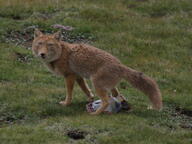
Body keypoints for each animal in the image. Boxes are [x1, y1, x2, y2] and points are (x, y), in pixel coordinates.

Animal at [31, 29, 162, 115]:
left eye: (50, 45)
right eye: (39, 44)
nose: (42, 54)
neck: (60, 54)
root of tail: (120, 64)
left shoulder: (69, 76)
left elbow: (69, 93)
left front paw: (66, 103)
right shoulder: (78, 76)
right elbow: (86, 90)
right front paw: (90, 99)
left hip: (97, 84)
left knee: (106, 101)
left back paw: (96, 113)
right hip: (108, 87)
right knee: (118, 96)